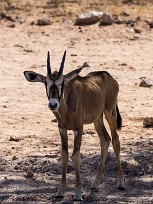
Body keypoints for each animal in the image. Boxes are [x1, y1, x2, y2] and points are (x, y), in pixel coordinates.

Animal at [23, 51, 124, 201]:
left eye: (62, 83)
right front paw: (60, 191)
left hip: (110, 112)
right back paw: (95, 183)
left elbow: (76, 156)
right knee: (105, 140)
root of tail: (108, 76)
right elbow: (64, 154)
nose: (53, 104)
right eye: (46, 83)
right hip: (97, 119)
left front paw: (77, 193)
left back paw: (121, 182)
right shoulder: (62, 129)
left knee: (116, 140)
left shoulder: (78, 129)